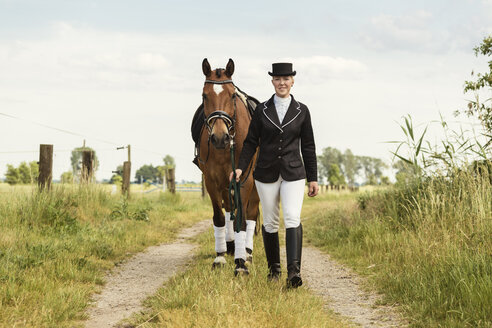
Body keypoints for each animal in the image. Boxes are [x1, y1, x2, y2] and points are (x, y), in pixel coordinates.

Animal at [196, 58, 260, 274]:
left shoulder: (244, 179)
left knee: (251, 214)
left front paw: (241, 263)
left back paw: (247, 252)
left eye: (232, 95)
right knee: (229, 210)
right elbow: (219, 217)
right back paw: (231, 246)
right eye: (204, 96)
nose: (219, 138)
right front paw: (220, 257)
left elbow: (242, 218)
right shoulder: (211, 181)